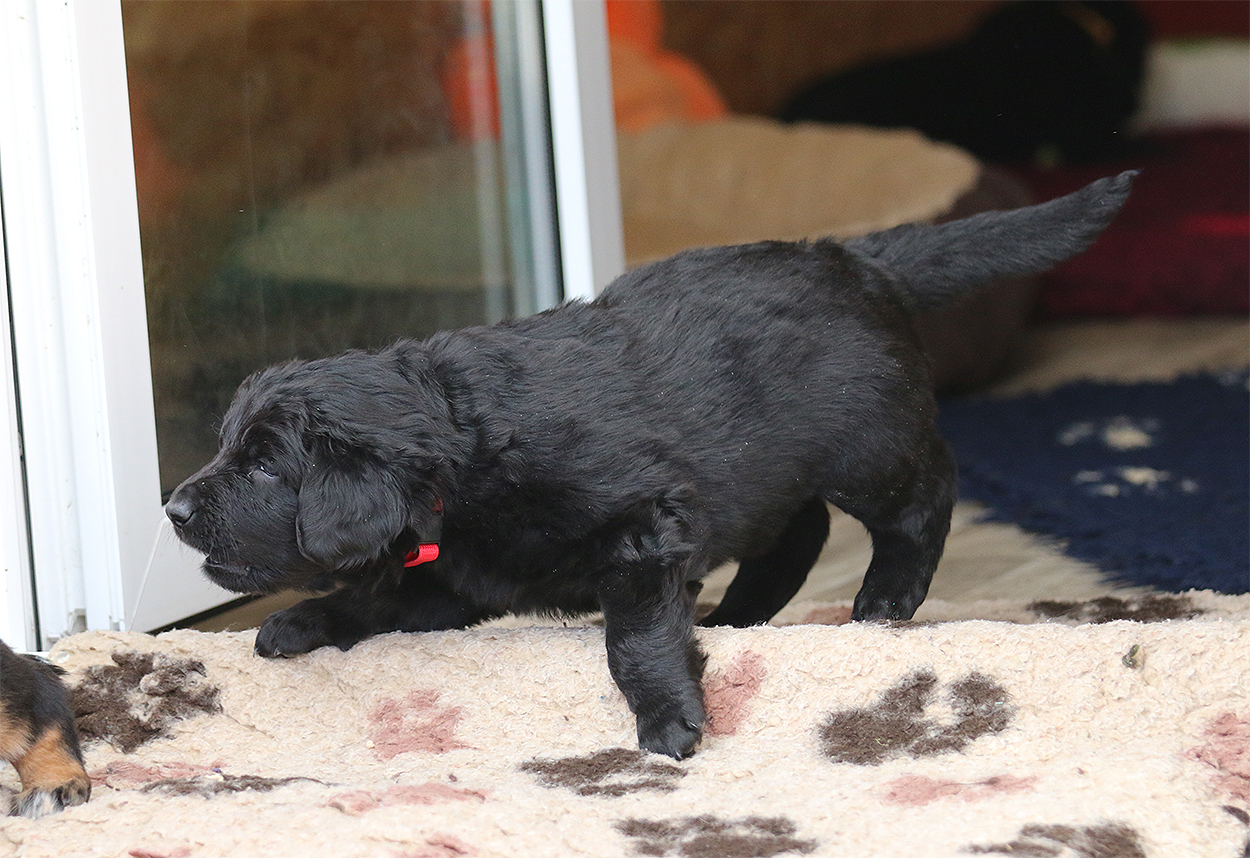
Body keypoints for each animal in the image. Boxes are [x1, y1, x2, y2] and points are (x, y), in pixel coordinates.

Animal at [166, 172, 1134, 759]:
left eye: (264, 469)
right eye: (228, 450)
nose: (174, 508)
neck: (463, 454)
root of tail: (854, 255)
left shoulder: (645, 527)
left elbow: (631, 637)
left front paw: (668, 715)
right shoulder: (461, 580)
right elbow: (376, 596)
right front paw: (302, 621)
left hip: (869, 443)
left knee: (924, 494)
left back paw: (886, 598)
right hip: (772, 471)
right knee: (796, 532)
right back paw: (739, 617)